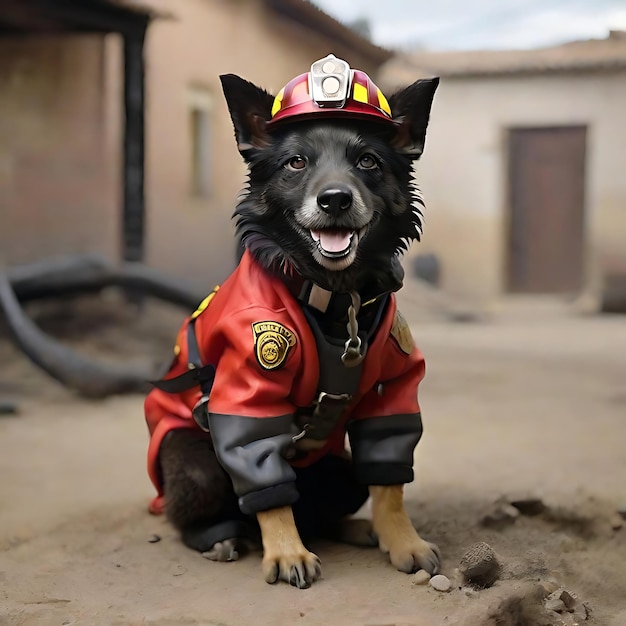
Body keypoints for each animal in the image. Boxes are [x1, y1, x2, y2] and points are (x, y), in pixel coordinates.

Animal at [144, 53, 438, 584]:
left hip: (341, 470)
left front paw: (402, 539)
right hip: (194, 464)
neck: (336, 299)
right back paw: (222, 537)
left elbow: (390, 485)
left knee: (321, 509)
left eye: (368, 161)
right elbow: (267, 484)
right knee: (203, 515)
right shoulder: (249, 394)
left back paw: (354, 529)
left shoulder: (394, 391)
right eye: (296, 162)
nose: (335, 199)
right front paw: (285, 551)